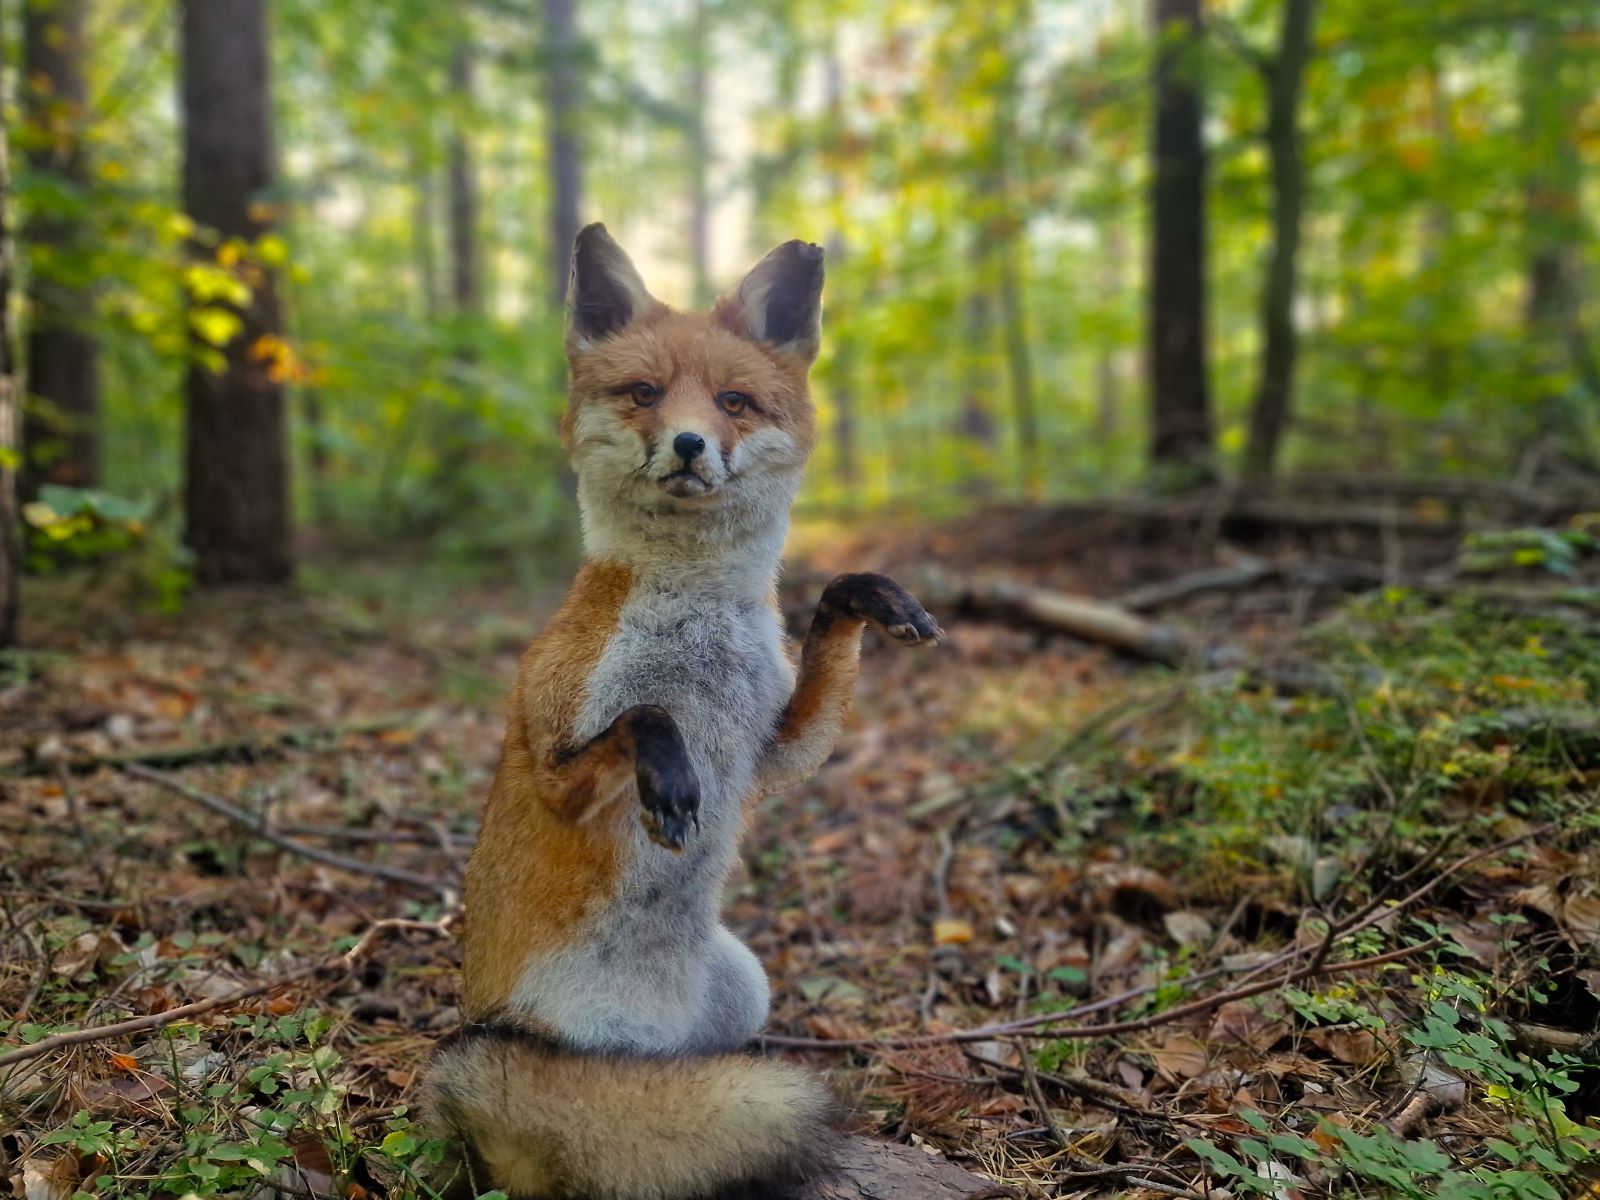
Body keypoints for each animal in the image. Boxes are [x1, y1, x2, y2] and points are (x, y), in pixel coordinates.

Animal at [419, 224, 942, 1200]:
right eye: (645, 394)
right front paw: (670, 778)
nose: (691, 444)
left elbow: (827, 633)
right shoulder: (559, 738)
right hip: (562, 1048)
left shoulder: (773, 745)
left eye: (733, 401)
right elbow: (645, 716)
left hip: (745, 989)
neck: (696, 626)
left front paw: (870, 594)